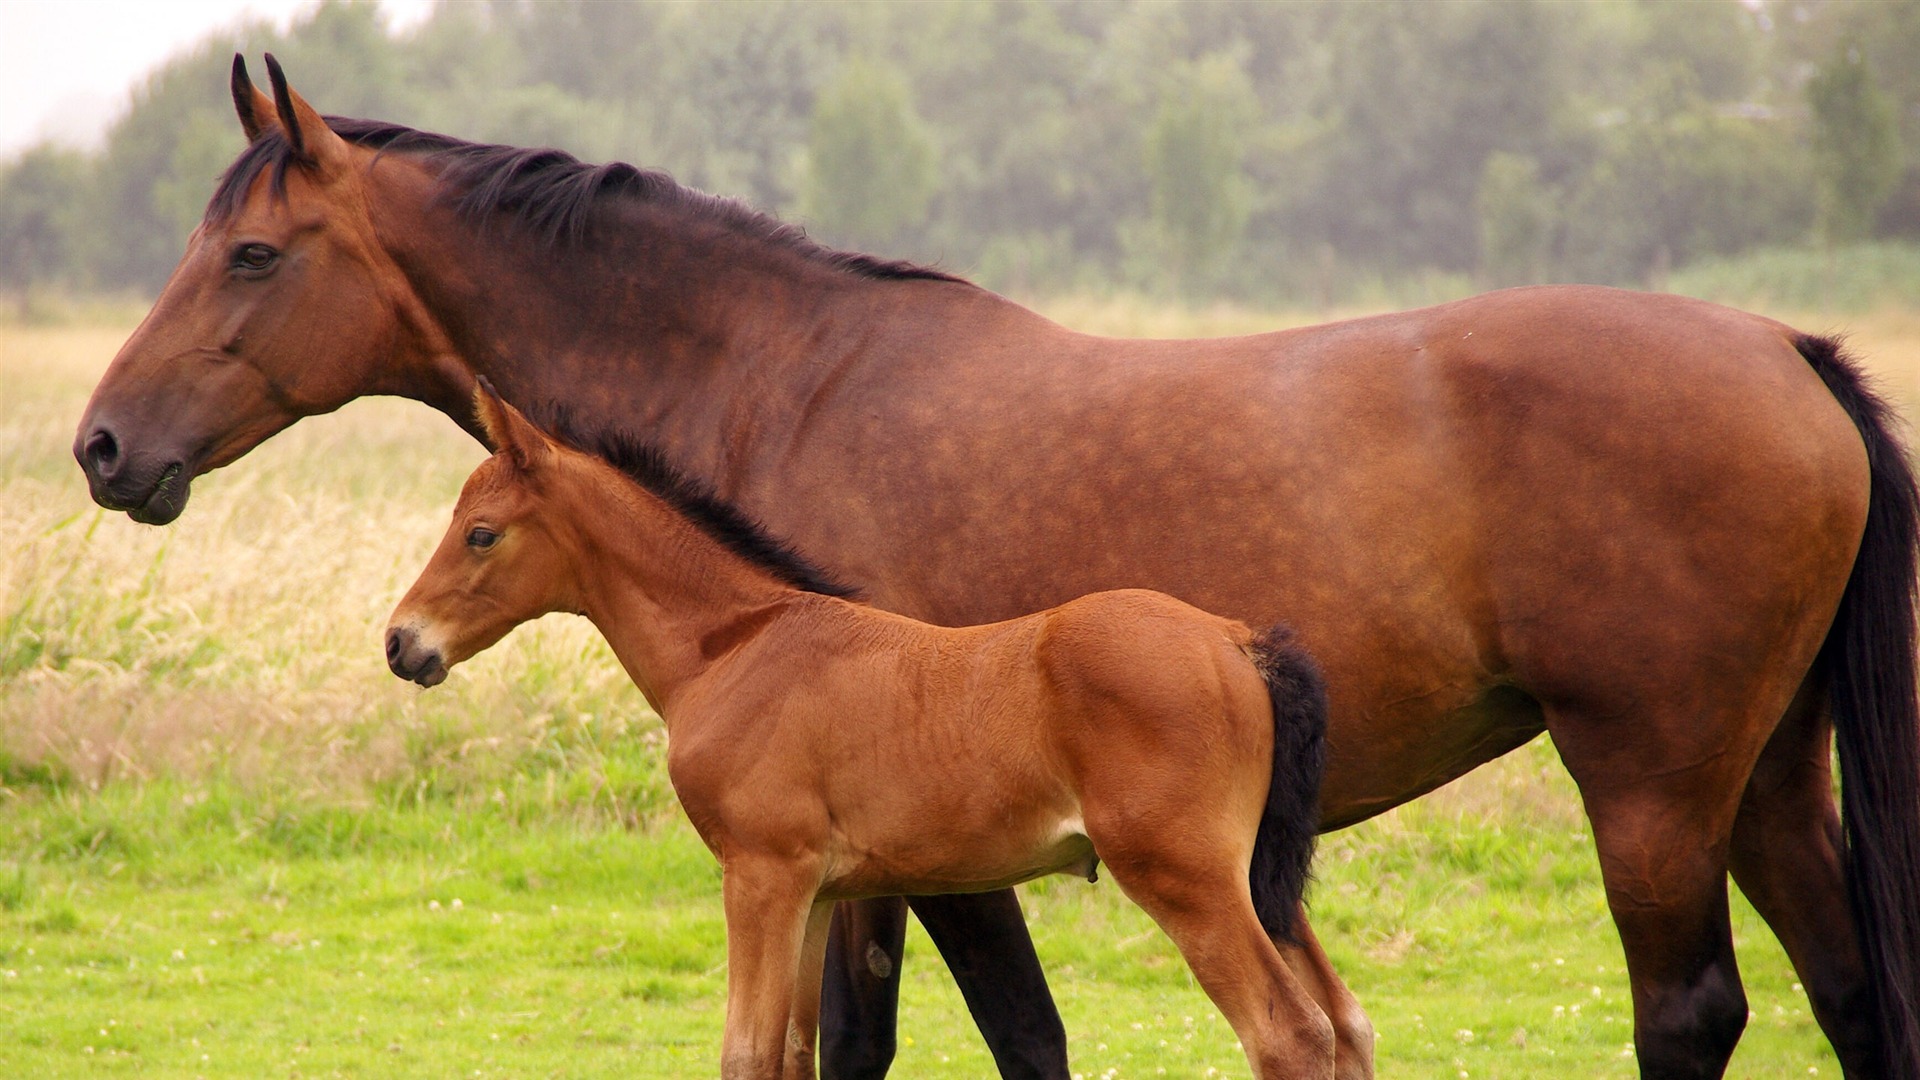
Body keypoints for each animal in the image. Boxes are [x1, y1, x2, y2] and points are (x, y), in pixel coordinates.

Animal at [387, 386, 1344, 1076]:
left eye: (482, 534)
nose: (402, 643)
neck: (736, 644)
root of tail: (1237, 640)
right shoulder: (815, 893)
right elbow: (789, 1055)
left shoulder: (760, 875)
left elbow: (744, 1055)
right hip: (1256, 882)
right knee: (1342, 1025)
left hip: (1186, 877)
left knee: (1289, 1035)